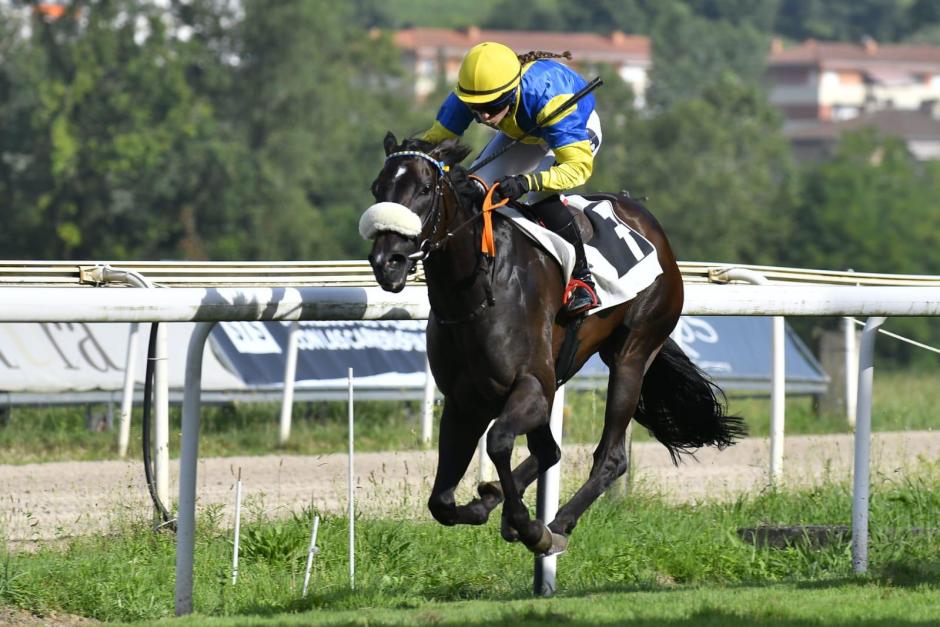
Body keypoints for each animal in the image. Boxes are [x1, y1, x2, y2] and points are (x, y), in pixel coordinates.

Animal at [364, 135, 744, 556]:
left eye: (425, 189)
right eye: (377, 188)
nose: (387, 261)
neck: (477, 291)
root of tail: (649, 224)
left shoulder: (532, 385)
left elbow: (499, 442)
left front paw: (527, 525)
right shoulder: (464, 402)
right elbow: (441, 503)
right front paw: (486, 504)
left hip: (633, 352)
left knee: (611, 456)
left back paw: (558, 523)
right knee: (550, 451)